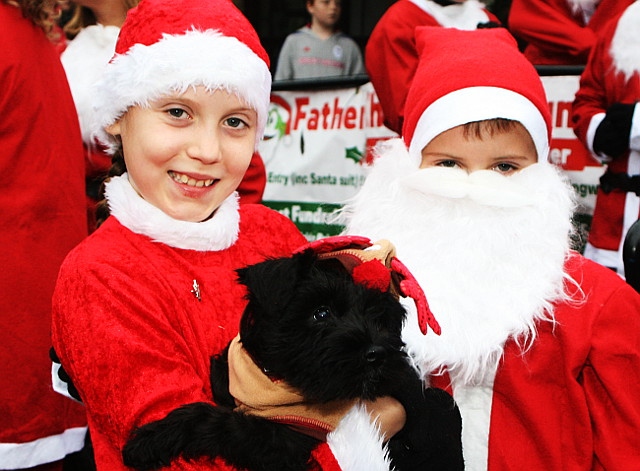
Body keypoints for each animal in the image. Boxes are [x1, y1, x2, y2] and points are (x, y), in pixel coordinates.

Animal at [122, 242, 462, 470]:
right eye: (320, 313)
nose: (376, 354)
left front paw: (151, 439)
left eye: (379, 318)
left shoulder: (289, 441)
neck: (276, 384)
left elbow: (219, 420)